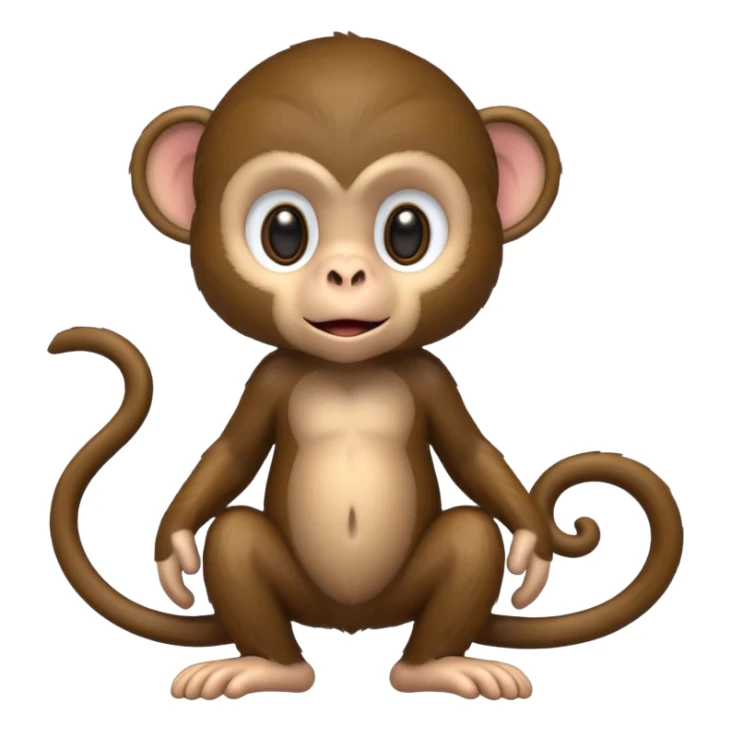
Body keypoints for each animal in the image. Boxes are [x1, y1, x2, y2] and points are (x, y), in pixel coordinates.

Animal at [49, 33, 683, 701]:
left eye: (407, 232)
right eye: (284, 231)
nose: (347, 273)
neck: (349, 368)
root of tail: (351, 624)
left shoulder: (431, 376)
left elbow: (471, 453)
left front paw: (533, 547)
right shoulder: (271, 378)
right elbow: (231, 454)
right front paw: (173, 548)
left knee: (472, 537)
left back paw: (437, 666)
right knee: (233, 538)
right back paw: (267, 666)